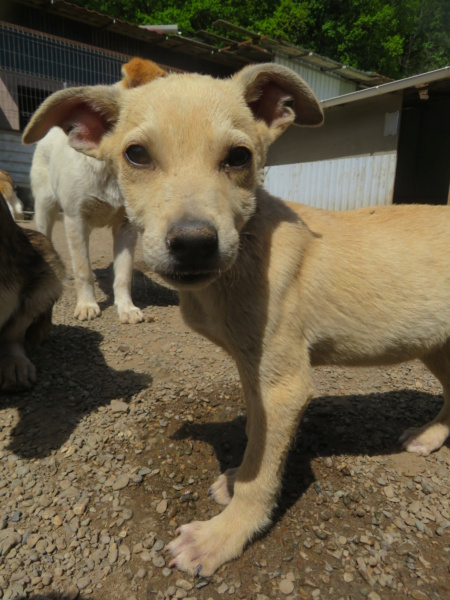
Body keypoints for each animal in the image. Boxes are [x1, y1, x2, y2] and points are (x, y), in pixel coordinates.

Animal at [30, 57, 167, 324]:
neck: (110, 174)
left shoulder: (126, 227)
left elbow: (123, 273)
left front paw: (126, 307)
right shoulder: (75, 219)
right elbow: (82, 267)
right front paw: (86, 304)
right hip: (45, 209)